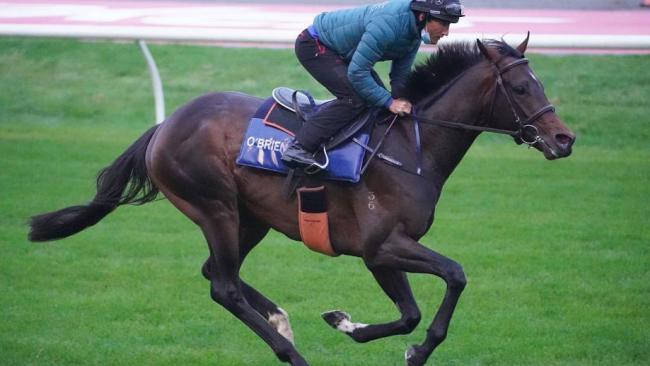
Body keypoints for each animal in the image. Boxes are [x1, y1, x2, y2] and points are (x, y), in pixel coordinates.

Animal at [27, 35, 572, 366]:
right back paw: (291, 352)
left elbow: (410, 314)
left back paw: (282, 324)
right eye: (521, 86)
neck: (409, 147)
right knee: (223, 286)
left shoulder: (382, 252)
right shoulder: (381, 246)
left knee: (216, 273)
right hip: (215, 207)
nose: (564, 140)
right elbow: (453, 277)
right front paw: (416, 351)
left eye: (541, 83)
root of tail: (164, 126)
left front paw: (346, 323)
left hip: (251, 217)